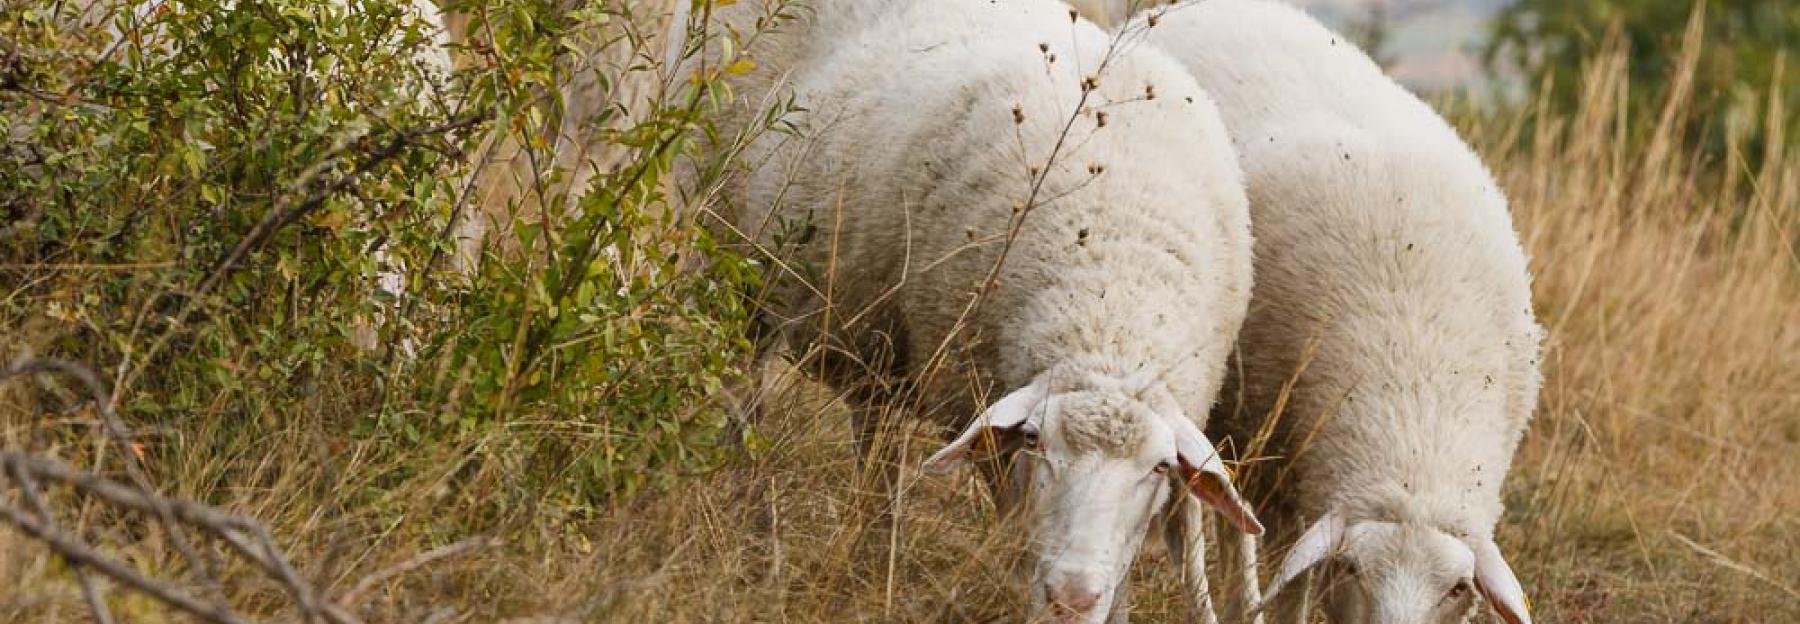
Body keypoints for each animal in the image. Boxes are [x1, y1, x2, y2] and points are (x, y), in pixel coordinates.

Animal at [716, 0, 1267, 622]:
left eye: (1160, 467)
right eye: (1034, 441)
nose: (1071, 596)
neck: (1108, 313)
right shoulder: (983, 420)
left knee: (874, 445)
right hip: (725, 262)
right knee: (745, 403)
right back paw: (745, 511)